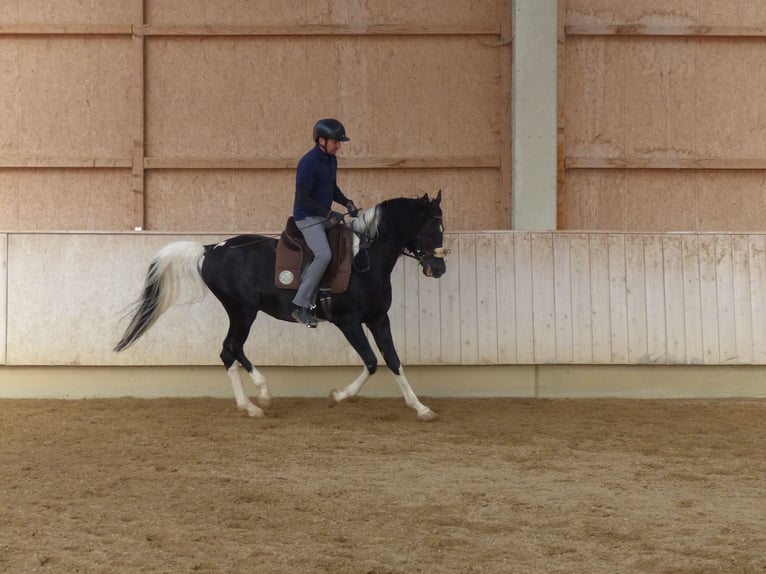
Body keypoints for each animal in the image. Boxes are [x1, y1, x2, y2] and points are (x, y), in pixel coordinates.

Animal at [114, 192, 448, 421]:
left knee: (230, 351)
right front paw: (338, 395)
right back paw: (258, 400)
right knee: (230, 349)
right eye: (431, 231)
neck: (364, 260)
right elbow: (371, 361)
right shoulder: (349, 322)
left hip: (243, 312)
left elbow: (393, 360)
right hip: (242, 311)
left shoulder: (378, 319)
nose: (439, 269)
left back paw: (251, 403)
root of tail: (211, 249)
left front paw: (420, 408)